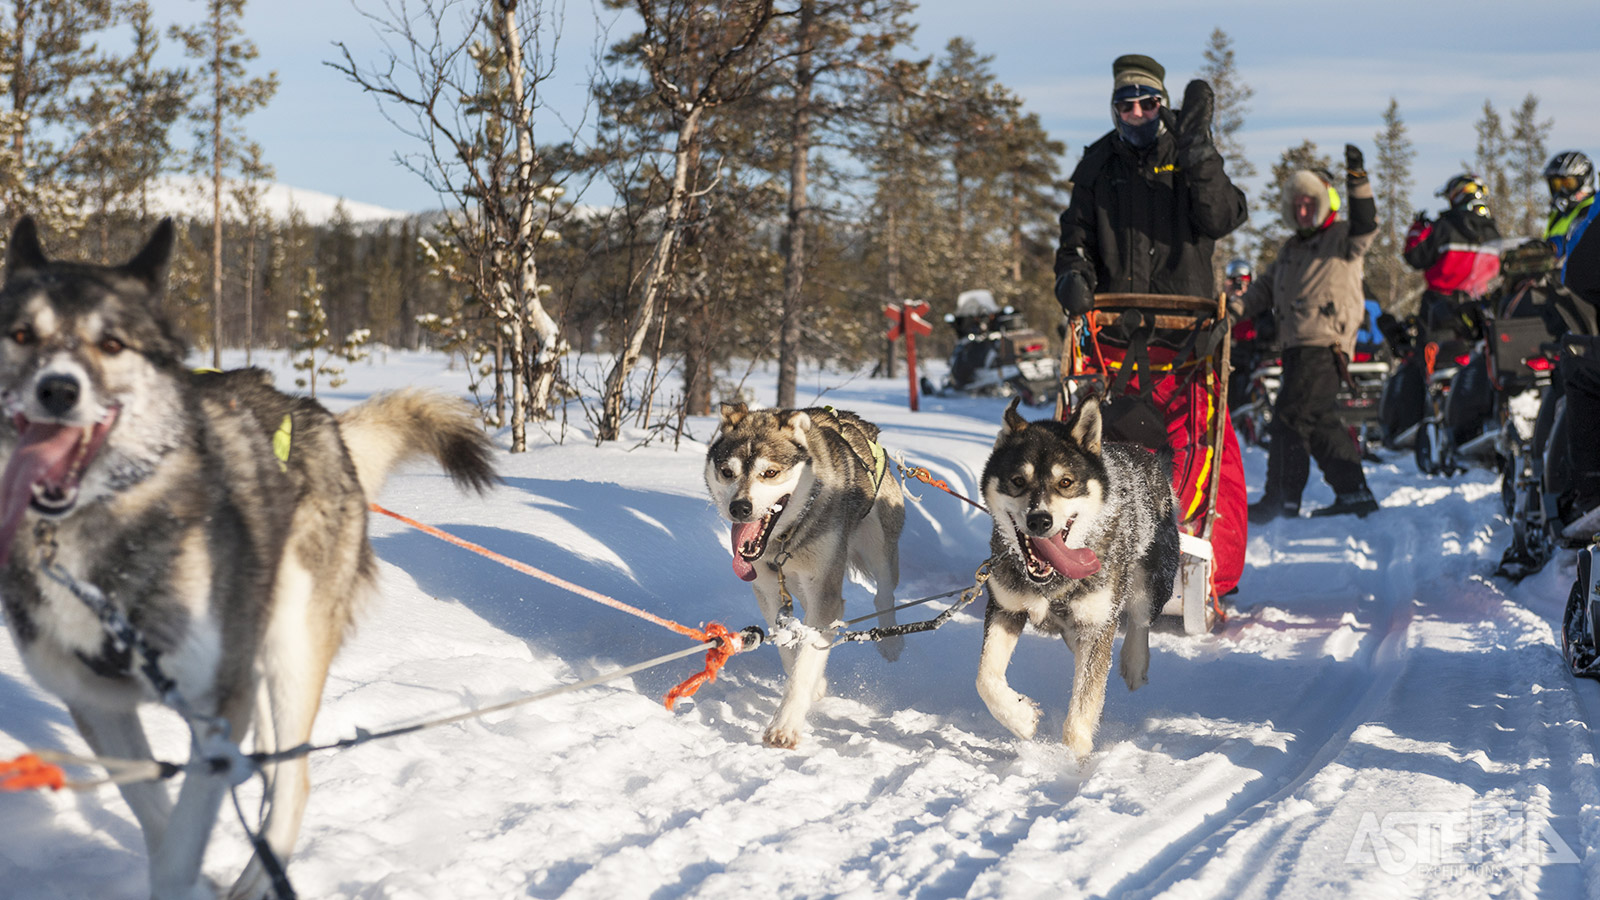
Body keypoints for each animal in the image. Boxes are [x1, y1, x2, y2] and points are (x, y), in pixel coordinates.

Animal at [0, 219, 496, 896]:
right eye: (22, 334)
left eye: (112, 342)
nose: (56, 389)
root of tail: (316, 417)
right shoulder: (99, 707)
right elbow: (156, 818)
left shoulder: (216, 712)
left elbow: (180, 847)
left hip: (291, 644)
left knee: (294, 780)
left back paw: (259, 876)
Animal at [707, 403, 908, 746]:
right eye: (727, 472)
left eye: (770, 473)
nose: (740, 508)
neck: (786, 539)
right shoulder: (769, 591)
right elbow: (790, 649)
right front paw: (814, 684)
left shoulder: (825, 594)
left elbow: (805, 662)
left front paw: (785, 725)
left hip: (878, 545)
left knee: (883, 592)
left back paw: (890, 642)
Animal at [966, 395, 1184, 752]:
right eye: (1018, 481)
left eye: (1065, 482)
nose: (1039, 520)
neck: (1052, 581)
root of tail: (1142, 451)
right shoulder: (1005, 609)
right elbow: (985, 678)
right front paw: (1021, 718)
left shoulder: (1097, 626)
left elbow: (1082, 708)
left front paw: (1072, 760)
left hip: (1151, 582)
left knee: (1140, 618)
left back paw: (1134, 663)